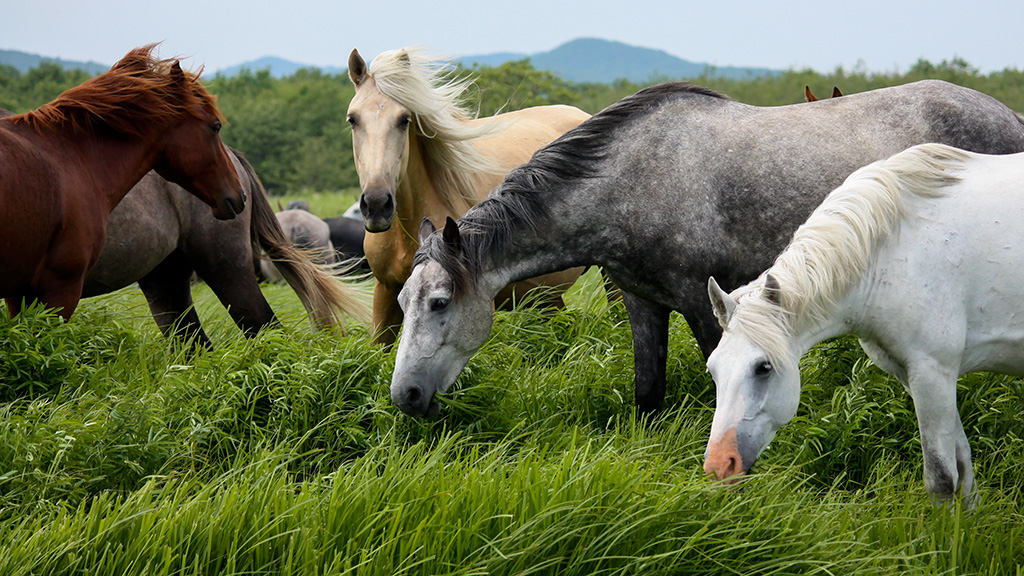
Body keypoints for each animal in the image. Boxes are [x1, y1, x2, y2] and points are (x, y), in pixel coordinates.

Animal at [387, 78, 1024, 414]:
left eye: (439, 303)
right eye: (402, 304)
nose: (405, 395)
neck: (628, 178)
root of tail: (1009, 115)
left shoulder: (704, 303)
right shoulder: (642, 304)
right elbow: (649, 395)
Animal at [708, 143, 1024, 502]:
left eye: (763, 368)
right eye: (713, 369)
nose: (719, 465)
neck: (891, 252)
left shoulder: (934, 373)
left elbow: (943, 477)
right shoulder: (915, 377)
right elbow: (963, 468)